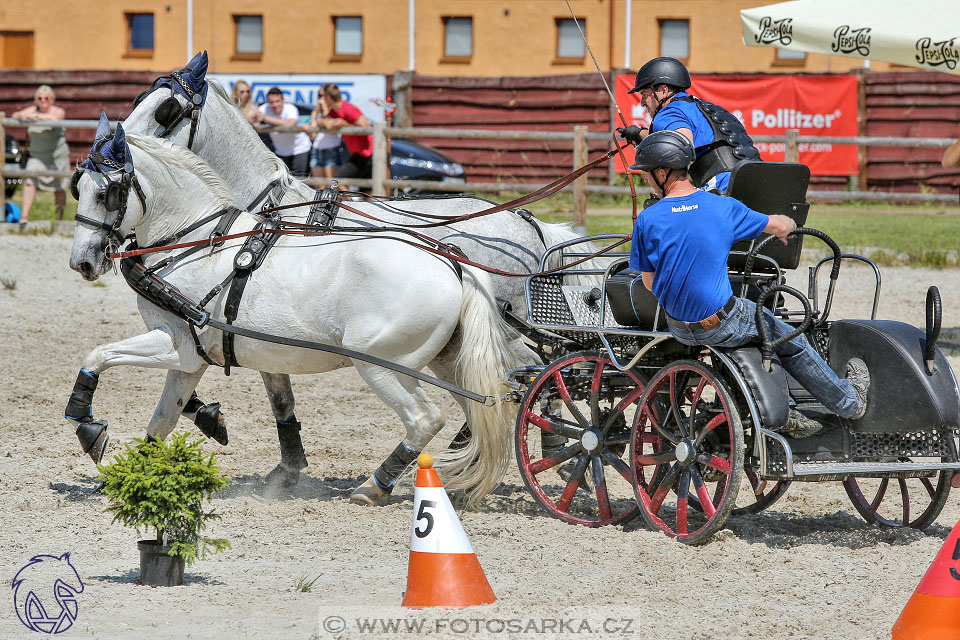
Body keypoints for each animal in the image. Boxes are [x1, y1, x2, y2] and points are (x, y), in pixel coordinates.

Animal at [67, 122, 520, 508]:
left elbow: (98, 355)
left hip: (382, 365)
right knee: (484, 415)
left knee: (426, 419)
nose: (82, 262)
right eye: (79, 188)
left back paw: (374, 486)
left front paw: (86, 424)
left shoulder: (176, 343)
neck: (196, 241)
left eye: (106, 193)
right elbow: (163, 418)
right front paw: (136, 472)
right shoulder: (190, 357)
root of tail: (453, 263)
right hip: (449, 362)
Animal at [120, 53, 600, 496]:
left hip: (501, 327)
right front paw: (280, 461)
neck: (262, 216)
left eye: (166, 111)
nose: (120, 141)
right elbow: (276, 393)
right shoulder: (257, 324)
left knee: (534, 376)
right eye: (141, 97)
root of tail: (530, 223)